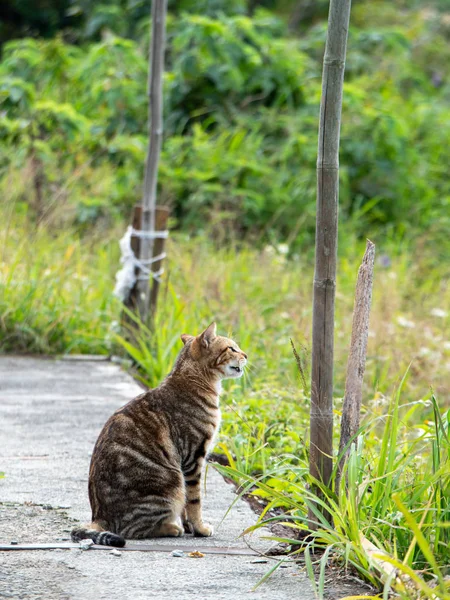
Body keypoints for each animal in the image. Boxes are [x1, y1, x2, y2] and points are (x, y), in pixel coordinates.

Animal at [71, 324, 246, 548]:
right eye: (232, 348)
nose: (246, 355)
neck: (193, 382)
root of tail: (98, 517)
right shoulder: (193, 457)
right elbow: (194, 501)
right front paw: (199, 528)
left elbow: (186, 506)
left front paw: (190, 526)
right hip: (171, 483)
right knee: (132, 530)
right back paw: (171, 528)